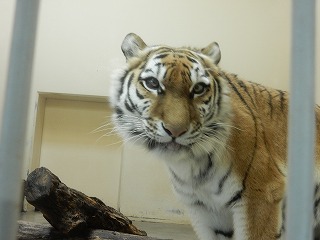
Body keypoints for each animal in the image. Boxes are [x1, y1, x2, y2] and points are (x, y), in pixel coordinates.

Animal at [110, 33, 320, 240]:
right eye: (153, 83)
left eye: (198, 88)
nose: (176, 130)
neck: (192, 166)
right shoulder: (204, 208)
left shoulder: (262, 194)